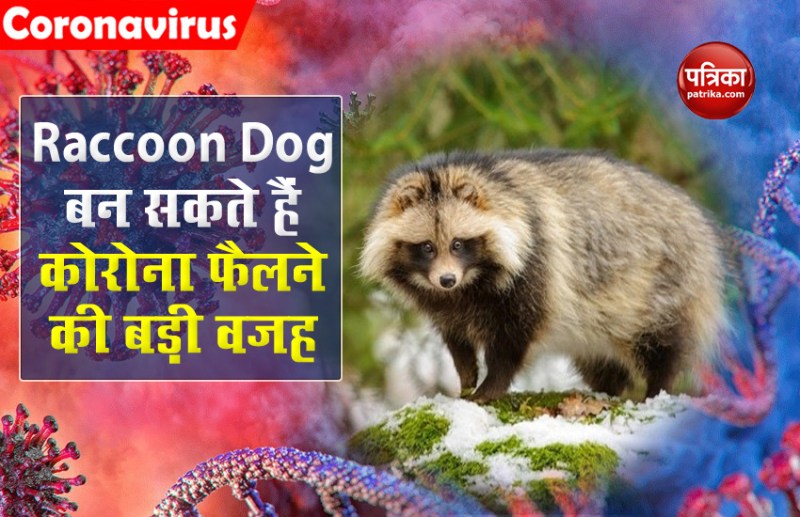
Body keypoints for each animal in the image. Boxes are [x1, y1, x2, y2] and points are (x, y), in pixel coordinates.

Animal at [359, 149, 725, 402]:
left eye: (458, 244)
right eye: (427, 247)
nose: (447, 280)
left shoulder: (536, 267)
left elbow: (513, 338)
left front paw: (490, 386)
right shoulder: (444, 305)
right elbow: (457, 339)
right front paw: (465, 380)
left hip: (662, 285)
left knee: (663, 344)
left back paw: (657, 389)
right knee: (601, 362)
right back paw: (607, 390)